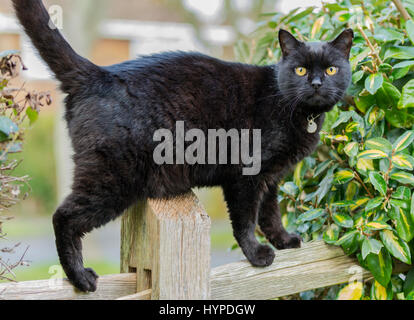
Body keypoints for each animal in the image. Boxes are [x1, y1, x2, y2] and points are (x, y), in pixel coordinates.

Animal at [13, 0, 352, 292]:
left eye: (331, 69)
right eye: (300, 70)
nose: (317, 84)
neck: (292, 108)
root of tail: (99, 74)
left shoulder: (271, 176)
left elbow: (270, 213)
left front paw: (283, 240)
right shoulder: (246, 175)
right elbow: (246, 219)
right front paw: (256, 255)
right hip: (111, 179)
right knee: (63, 216)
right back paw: (80, 277)